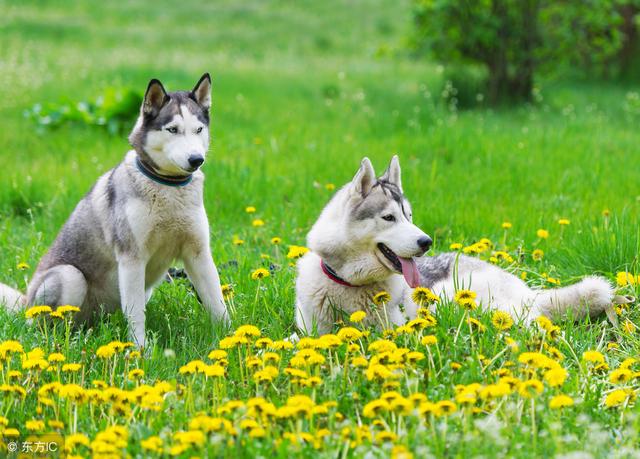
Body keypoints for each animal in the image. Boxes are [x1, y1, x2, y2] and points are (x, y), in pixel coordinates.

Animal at [0, 73, 230, 346]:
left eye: (199, 129)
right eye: (173, 130)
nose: (196, 159)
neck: (168, 188)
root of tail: (25, 302)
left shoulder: (198, 254)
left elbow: (218, 304)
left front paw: (232, 338)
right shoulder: (131, 259)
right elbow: (136, 315)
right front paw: (140, 350)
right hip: (69, 276)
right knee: (49, 326)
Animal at [296, 156, 616, 336]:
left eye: (409, 216)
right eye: (389, 217)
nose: (426, 242)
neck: (349, 285)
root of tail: (529, 293)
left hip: (447, 294)